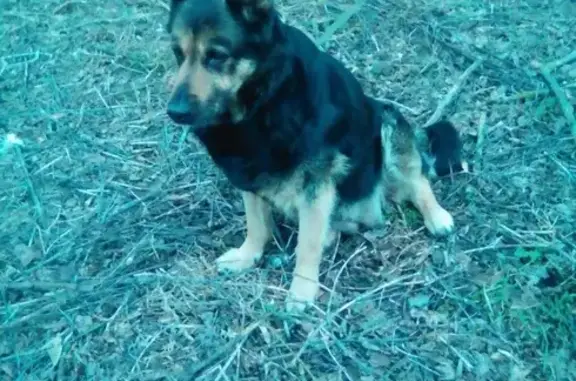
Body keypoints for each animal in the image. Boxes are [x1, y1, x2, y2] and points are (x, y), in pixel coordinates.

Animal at [164, 0, 466, 312]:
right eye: (177, 52)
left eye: (217, 56)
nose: (174, 112)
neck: (265, 99)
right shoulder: (249, 173)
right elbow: (256, 224)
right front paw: (248, 255)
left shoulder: (316, 184)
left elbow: (306, 245)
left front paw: (302, 291)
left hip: (387, 121)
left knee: (418, 181)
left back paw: (437, 217)